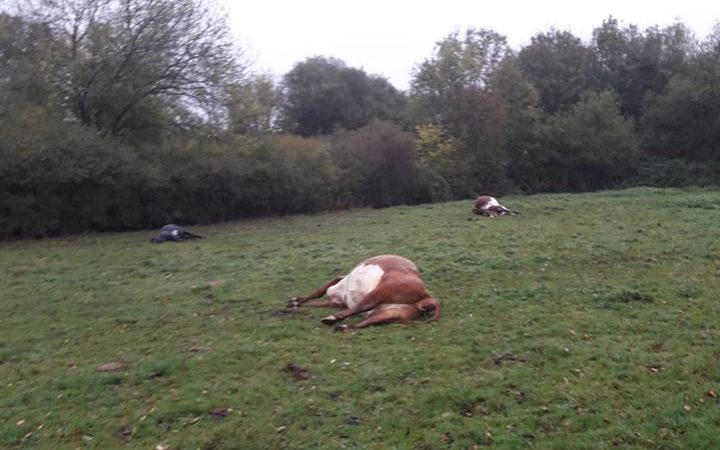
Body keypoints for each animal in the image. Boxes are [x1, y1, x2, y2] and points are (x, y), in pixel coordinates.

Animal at [286, 256, 438, 330]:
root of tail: (428, 296)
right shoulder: (337, 301)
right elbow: (316, 299)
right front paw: (296, 302)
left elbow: (320, 292)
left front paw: (296, 301)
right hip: (389, 314)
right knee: (366, 322)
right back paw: (343, 327)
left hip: (381, 291)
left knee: (362, 306)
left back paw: (332, 319)